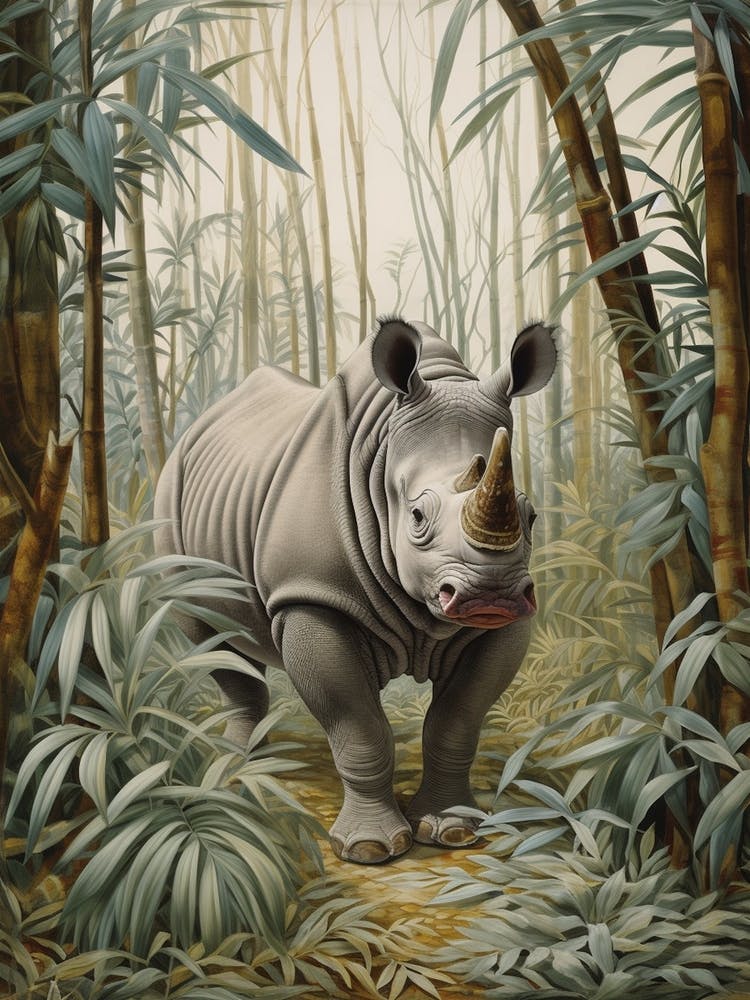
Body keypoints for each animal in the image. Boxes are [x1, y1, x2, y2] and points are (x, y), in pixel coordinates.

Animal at [154, 317, 556, 864]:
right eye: (416, 516)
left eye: (530, 515)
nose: (489, 595)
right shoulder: (311, 595)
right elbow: (359, 728)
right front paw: (369, 848)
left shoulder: (504, 627)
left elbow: (457, 723)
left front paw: (453, 830)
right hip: (170, 497)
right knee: (206, 635)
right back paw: (239, 764)